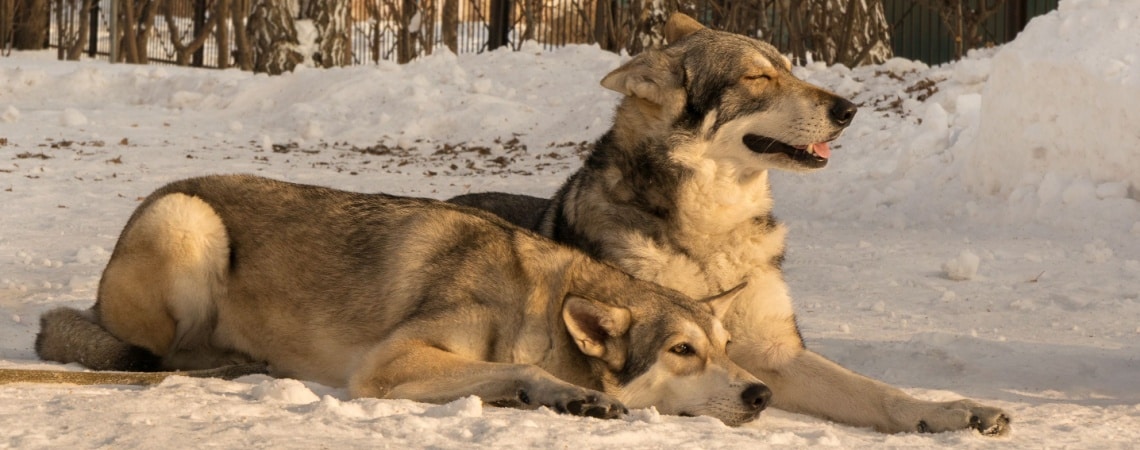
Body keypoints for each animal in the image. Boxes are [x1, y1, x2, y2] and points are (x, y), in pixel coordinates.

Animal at [31, 174, 770, 423]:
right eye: (683, 350)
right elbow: (519, 367)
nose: (761, 393)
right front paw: (568, 395)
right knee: (167, 355)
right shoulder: (386, 364)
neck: (534, 303)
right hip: (188, 222)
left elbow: (503, 373)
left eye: (727, 348)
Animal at [449, 13, 1012, 437]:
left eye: (790, 69)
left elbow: (880, 393)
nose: (849, 109)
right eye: (757, 78)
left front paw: (952, 412)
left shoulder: (776, 353)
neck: (713, 237)